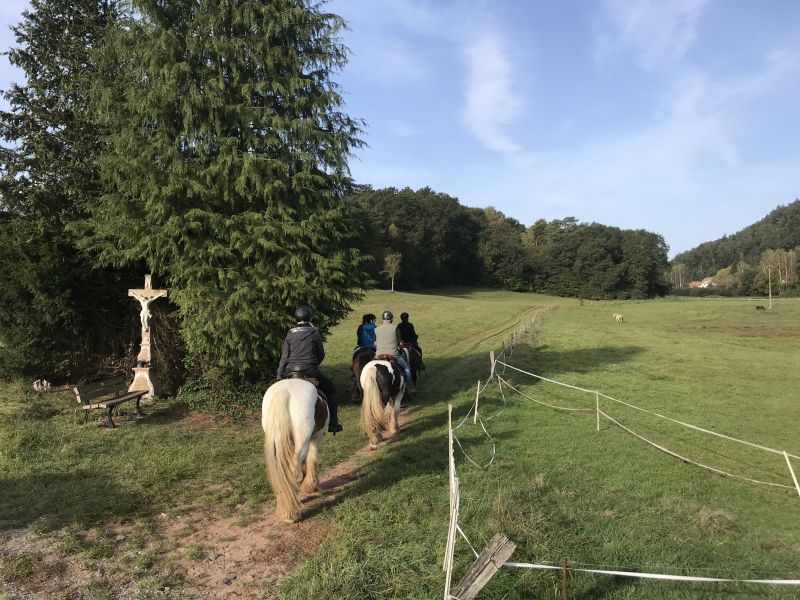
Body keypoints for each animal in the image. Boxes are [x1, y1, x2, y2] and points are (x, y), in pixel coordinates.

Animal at [260, 382, 328, 524]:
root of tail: (284, 391)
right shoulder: (316, 437)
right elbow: (312, 458)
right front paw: (311, 486)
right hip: (303, 439)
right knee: (293, 468)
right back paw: (291, 513)